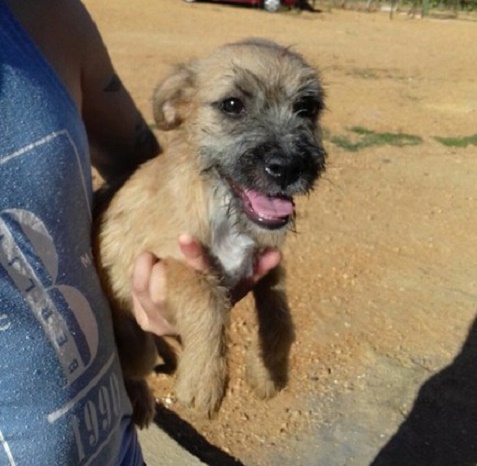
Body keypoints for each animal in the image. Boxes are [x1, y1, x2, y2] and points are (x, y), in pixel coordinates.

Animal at [95, 38, 326, 427]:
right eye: (232, 105)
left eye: (307, 107)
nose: (289, 167)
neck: (221, 208)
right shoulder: (156, 264)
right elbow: (207, 297)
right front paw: (204, 380)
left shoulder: (268, 264)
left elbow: (282, 319)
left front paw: (269, 373)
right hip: (137, 344)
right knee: (135, 371)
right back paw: (142, 399)